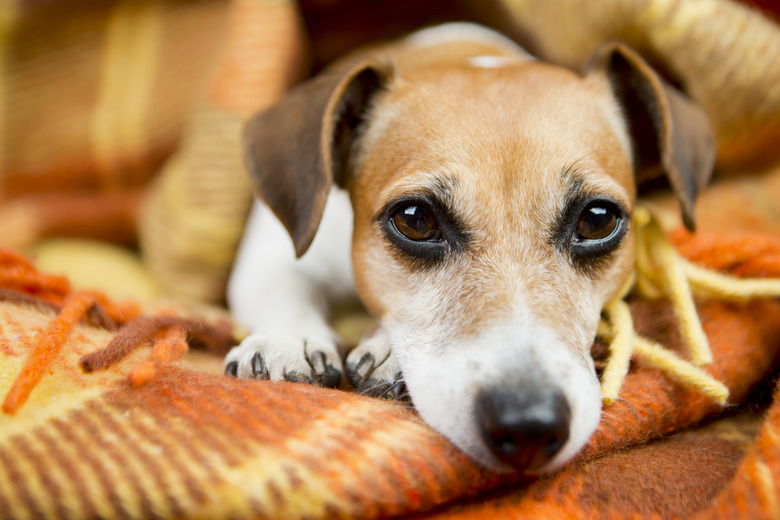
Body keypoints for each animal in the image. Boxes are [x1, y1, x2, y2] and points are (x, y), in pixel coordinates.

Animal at [221, 23, 712, 472]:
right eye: (415, 219)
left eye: (598, 219)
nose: (530, 425)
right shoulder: (271, 257)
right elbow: (282, 288)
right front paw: (289, 339)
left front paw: (387, 351)